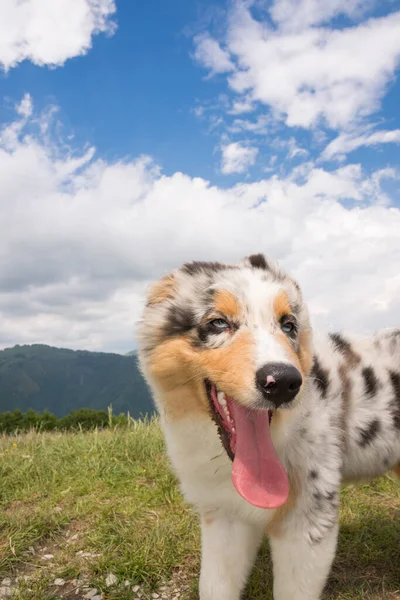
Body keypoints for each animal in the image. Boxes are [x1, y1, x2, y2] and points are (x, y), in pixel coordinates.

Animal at [138, 254, 400, 600]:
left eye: (289, 325)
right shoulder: (224, 516)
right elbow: (214, 585)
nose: (285, 382)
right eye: (218, 322)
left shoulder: (308, 521)